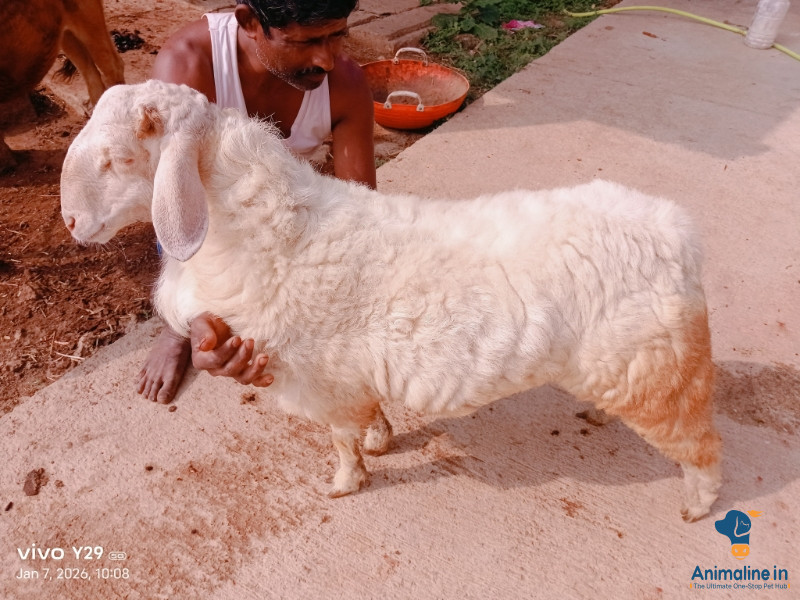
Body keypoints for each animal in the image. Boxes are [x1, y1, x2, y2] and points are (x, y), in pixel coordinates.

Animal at [60, 80, 722, 521]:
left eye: (116, 159)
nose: (70, 222)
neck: (270, 233)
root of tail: (677, 234)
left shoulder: (321, 381)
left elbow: (341, 441)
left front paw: (345, 484)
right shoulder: (349, 376)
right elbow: (369, 418)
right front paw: (381, 438)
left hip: (662, 379)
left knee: (703, 447)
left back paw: (700, 505)